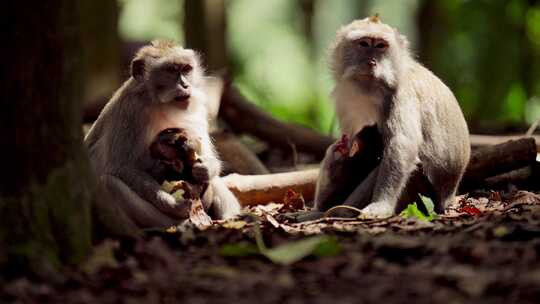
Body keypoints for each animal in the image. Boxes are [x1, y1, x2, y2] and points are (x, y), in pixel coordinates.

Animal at [85, 40, 240, 227]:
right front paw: (171, 203)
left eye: (186, 69)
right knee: (110, 184)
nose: (185, 85)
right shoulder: (131, 110)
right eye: (171, 70)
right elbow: (120, 166)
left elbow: (204, 153)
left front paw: (206, 168)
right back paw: (177, 222)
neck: (161, 104)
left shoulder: (197, 107)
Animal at [314, 15, 470, 217]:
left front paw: (381, 205)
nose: (371, 62)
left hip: (423, 194)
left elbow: (401, 144)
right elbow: (350, 146)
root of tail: (449, 199)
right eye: (364, 43)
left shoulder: (402, 94)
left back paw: (340, 212)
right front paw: (340, 152)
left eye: (381, 46)